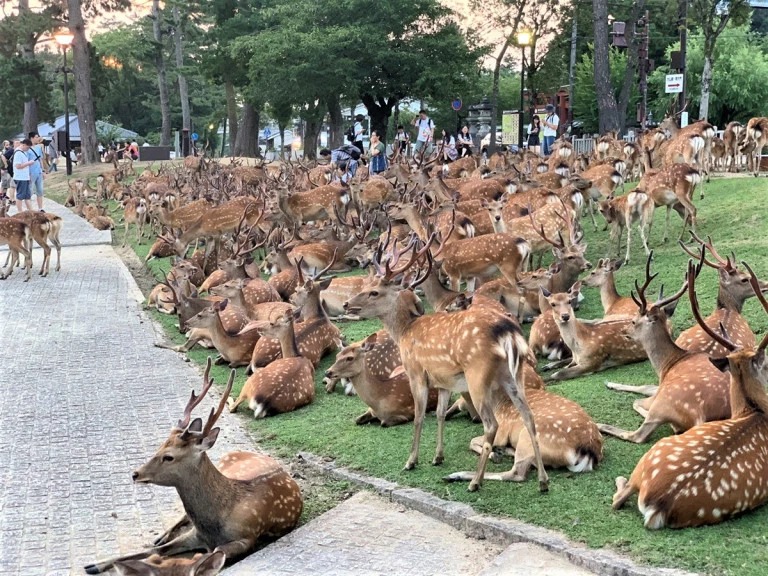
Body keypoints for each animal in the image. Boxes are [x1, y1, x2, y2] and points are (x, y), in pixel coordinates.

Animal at [82, 358, 304, 572]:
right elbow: (155, 550)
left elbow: (210, 555)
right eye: (160, 445)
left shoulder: (246, 537)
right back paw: (159, 536)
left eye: (169, 457)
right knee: (178, 521)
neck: (212, 526)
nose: (136, 474)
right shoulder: (195, 534)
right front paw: (94, 564)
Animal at [344, 237, 552, 490]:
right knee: (529, 416)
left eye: (374, 292)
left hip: (477, 376)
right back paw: (543, 481)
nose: (347, 304)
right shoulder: (443, 381)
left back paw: (475, 481)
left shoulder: (416, 372)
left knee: (491, 424)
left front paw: (411, 461)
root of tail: (509, 334)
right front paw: (437, 457)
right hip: (513, 374)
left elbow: (419, 416)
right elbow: (440, 414)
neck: (403, 332)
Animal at [596, 255, 728, 446]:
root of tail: (701, 416)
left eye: (634, 321)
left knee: (639, 433)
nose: (624, 331)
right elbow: (644, 386)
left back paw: (601, 425)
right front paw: (610, 383)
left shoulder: (661, 388)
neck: (666, 365)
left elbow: (639, 395)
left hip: (665, 401)